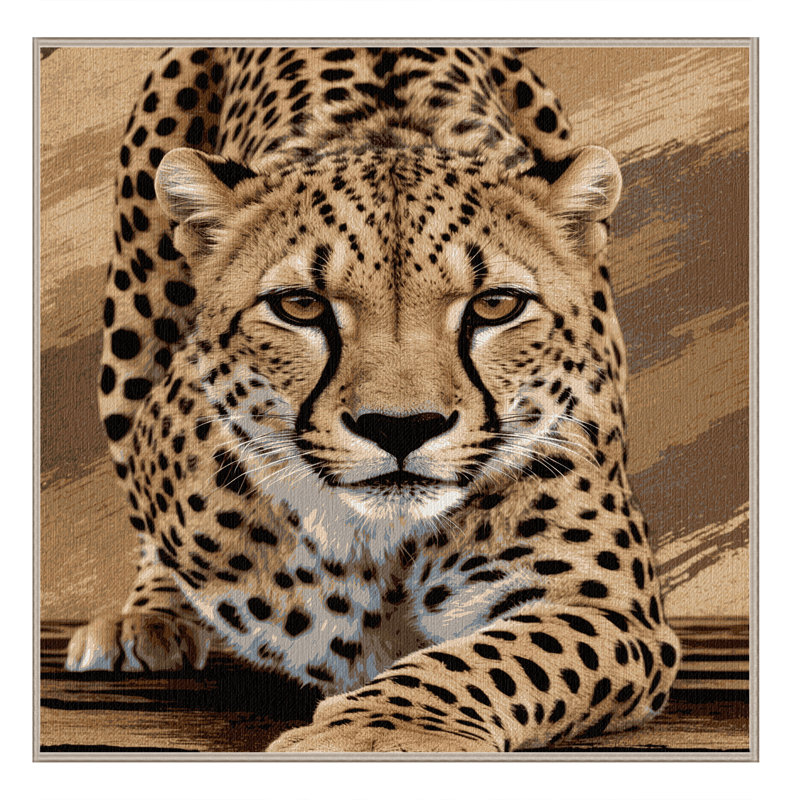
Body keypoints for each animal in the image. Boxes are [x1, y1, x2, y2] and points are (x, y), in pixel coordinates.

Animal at [65, 46, 681, 753]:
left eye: (496, 305)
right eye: (300, 306)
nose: (400, 428)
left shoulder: (608, 607)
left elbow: (487, 660)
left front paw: (377, 732)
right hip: (133, 332)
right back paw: (147, 620)